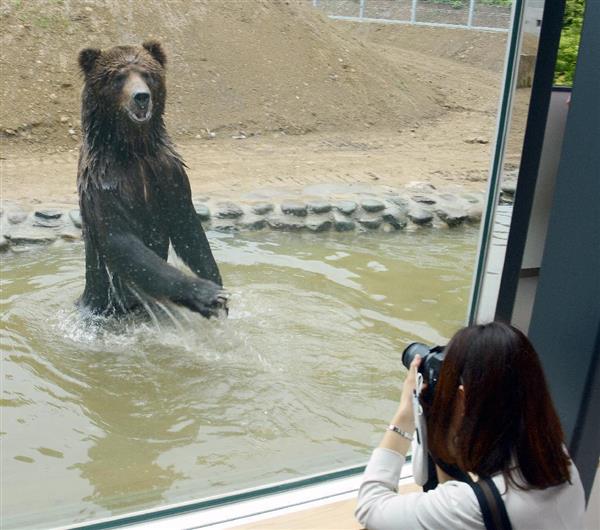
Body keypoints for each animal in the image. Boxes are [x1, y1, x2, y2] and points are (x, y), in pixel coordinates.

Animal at [75, 42, 225, 318]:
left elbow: (188, 229)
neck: (134, 150)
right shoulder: (103, 184)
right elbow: (122, 241)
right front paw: (206, 293)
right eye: (118, 77)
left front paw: (216, 282)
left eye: (147, 74)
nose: (141, 96)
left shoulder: (168, 174)